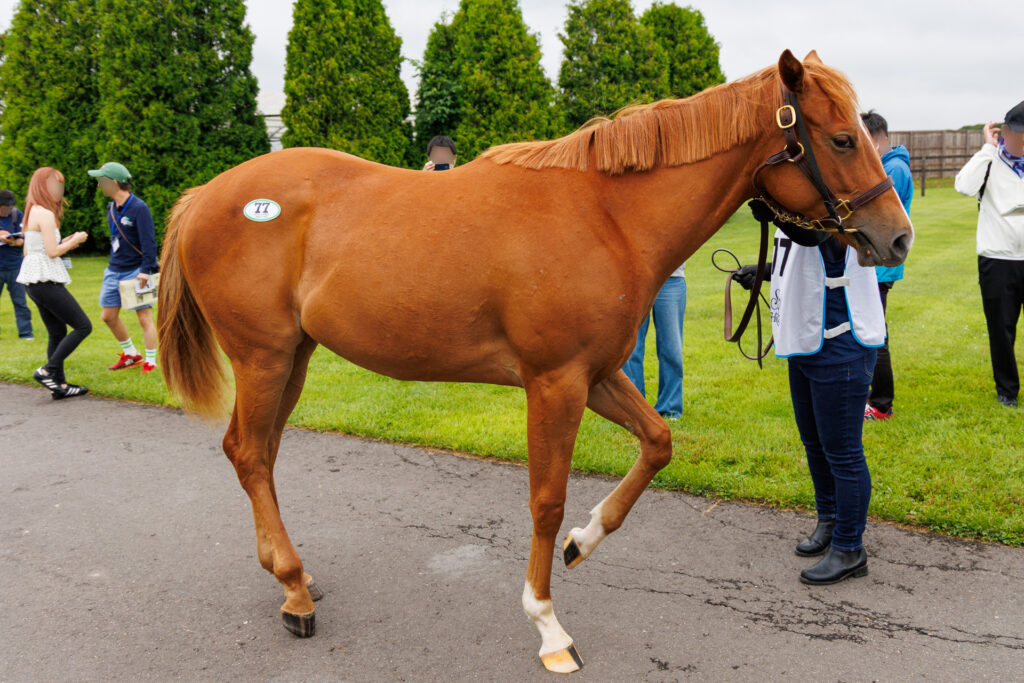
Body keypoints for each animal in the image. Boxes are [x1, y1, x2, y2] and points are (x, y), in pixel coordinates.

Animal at [157, 50, 912, 674]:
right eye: (841, 139)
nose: (897, 237)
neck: (606, 215)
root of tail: (204, 196)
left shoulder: (598, 375)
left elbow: (657, 443)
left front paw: (585, 539)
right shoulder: (555, 384)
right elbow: (544, 500)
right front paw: (547, 625)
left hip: (294, 358)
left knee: (259, 452)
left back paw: (295, 578)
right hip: (263, 357)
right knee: (249, 453)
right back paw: (293, 589)